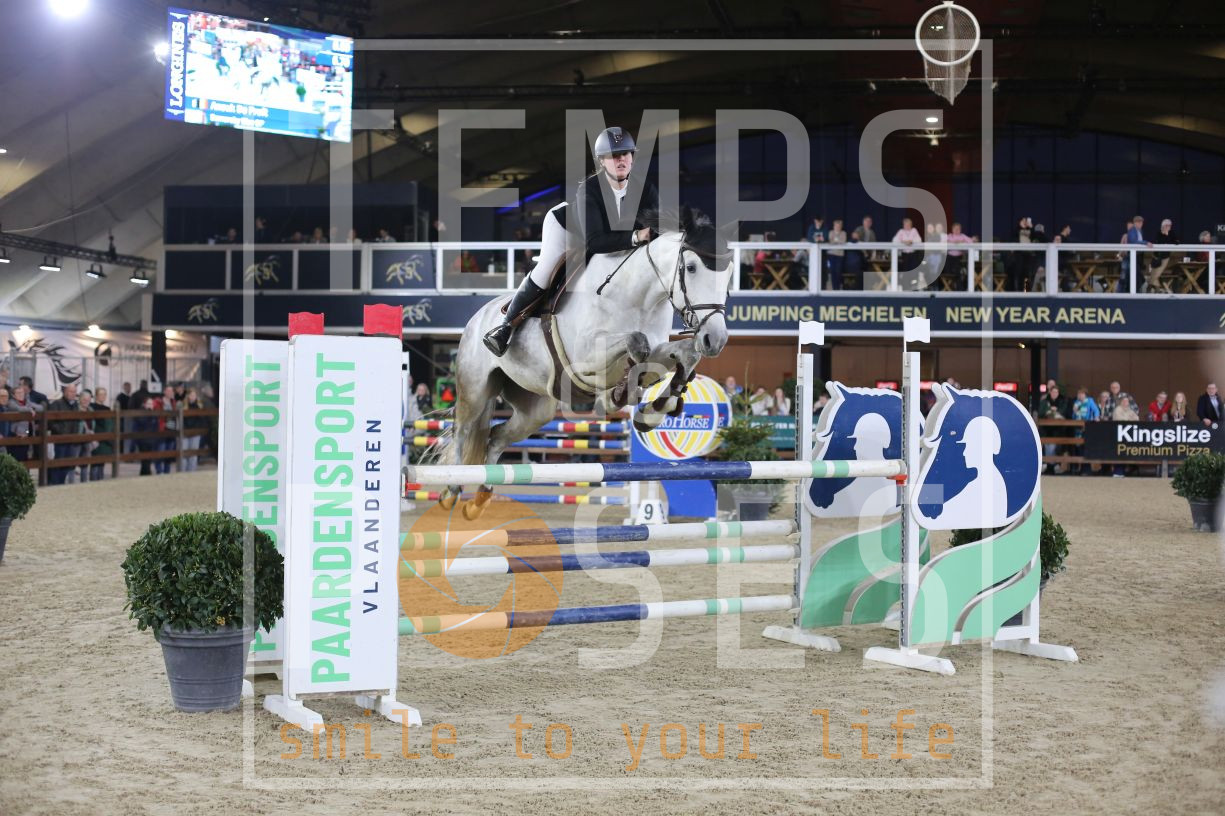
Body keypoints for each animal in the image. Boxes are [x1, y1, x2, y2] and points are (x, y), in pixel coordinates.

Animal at [440, 207, 733, 519]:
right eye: (691, 267)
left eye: (729, 274)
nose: (715, 339)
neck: (638, 297)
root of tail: (479, 315)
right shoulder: (584, 359)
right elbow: (636, 344)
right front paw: (621, 396)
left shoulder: (659, 349)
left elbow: (683, 355)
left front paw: (653, 410)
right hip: (474, 389)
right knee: (463, 430)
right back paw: (451, 490)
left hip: (535, 410)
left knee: (496, 436)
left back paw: (480, 498)